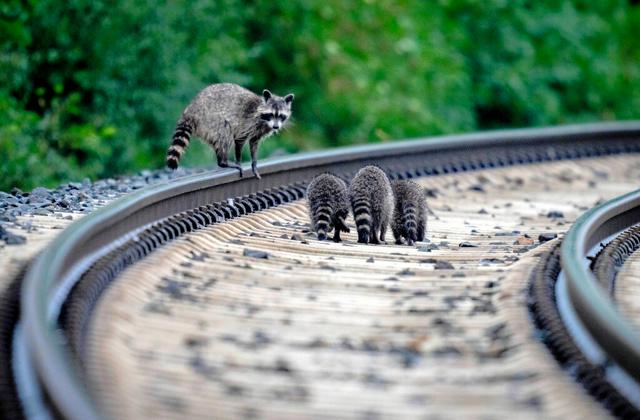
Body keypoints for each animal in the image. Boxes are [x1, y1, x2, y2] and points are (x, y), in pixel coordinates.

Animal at [166, 83, 294, 178]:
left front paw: (254, 162)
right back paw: (223, 162)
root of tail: (190, 111)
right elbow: (239, 140)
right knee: (224, 134)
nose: (276, 127)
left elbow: (253, 143)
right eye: (271, 114)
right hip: (210, 120)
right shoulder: (246, 123)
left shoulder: (258, 131)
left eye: (281, 116)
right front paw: (238, 160)